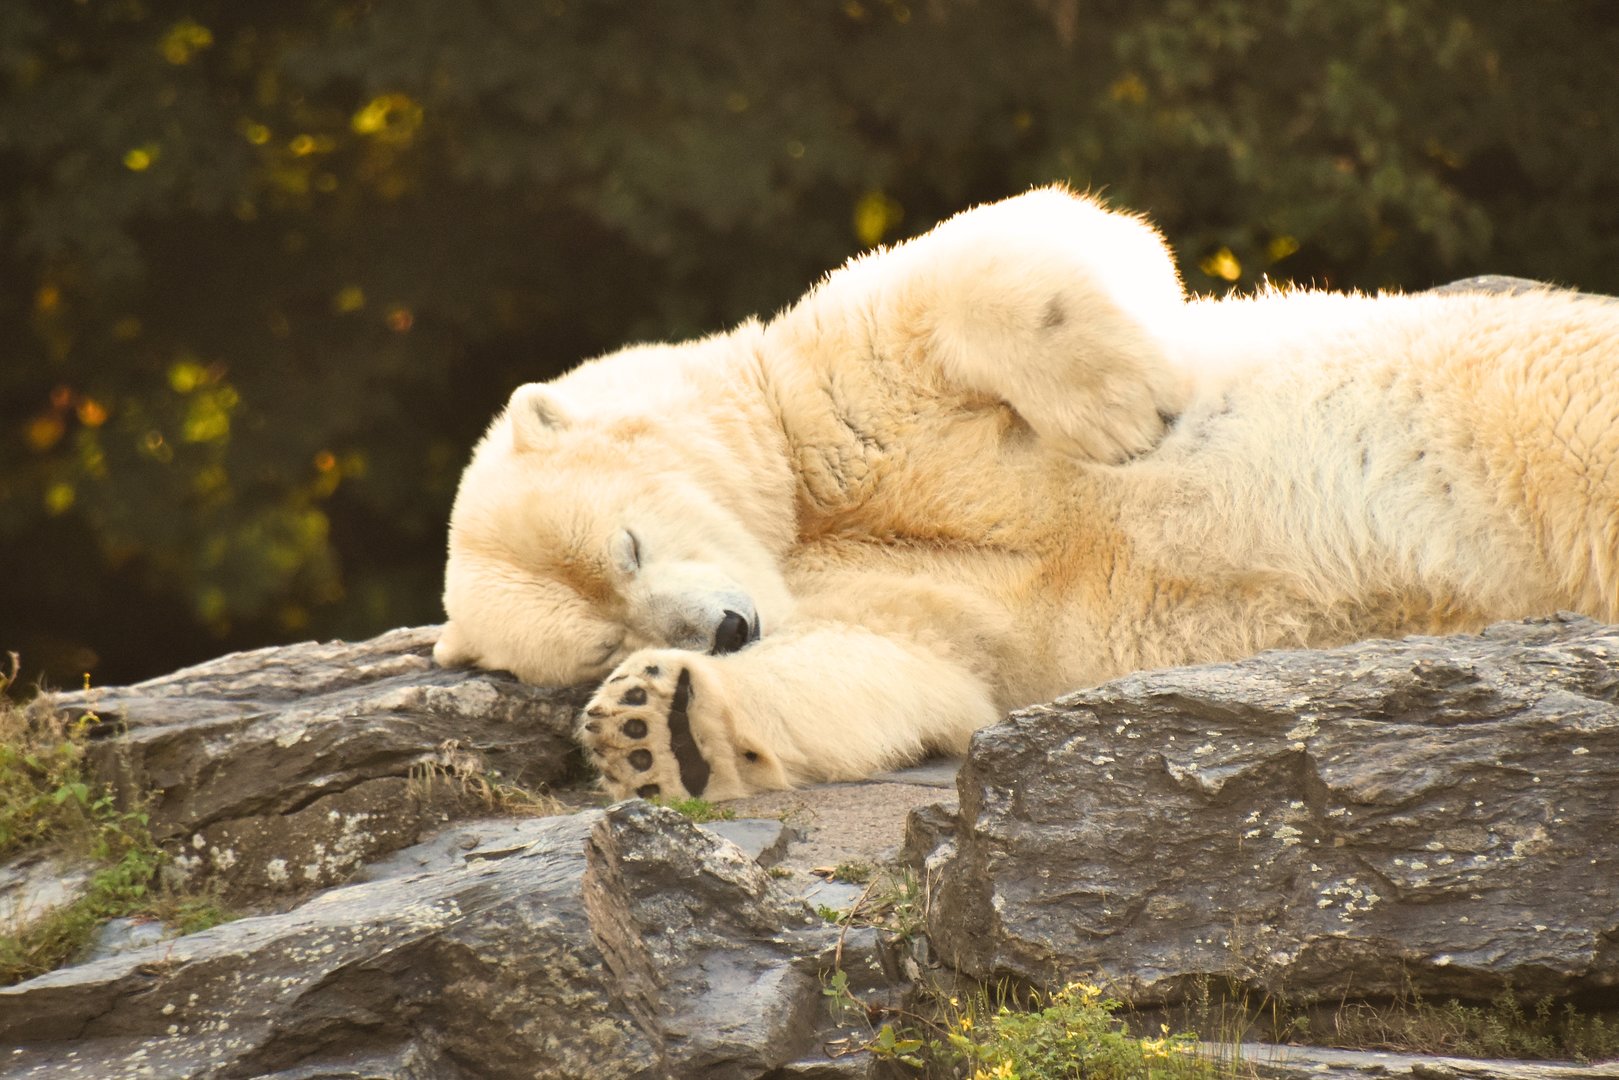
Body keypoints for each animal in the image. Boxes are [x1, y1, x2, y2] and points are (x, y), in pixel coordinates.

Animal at [434, 185, 1619, 802]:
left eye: (625, 545)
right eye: (603, 635)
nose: (724, 629)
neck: (799, 533)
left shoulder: (819, 405)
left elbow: (1016, 240)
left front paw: (1125, 408)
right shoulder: (891, 603)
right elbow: (903, 675)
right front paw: (659, 726)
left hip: (1523, 396)